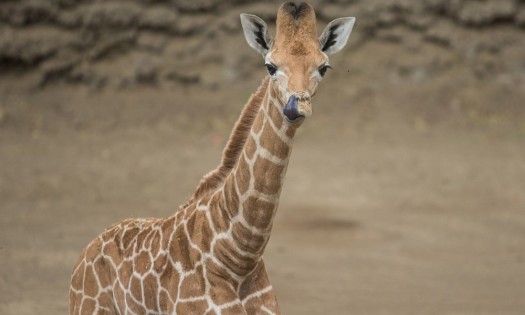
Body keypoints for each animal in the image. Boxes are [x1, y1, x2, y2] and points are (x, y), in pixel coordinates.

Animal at [69, 1, 354, 314]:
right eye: (270, 66)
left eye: (323, 67)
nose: (296, 107)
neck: (238, 257)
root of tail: (84, 254)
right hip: (87, 308)